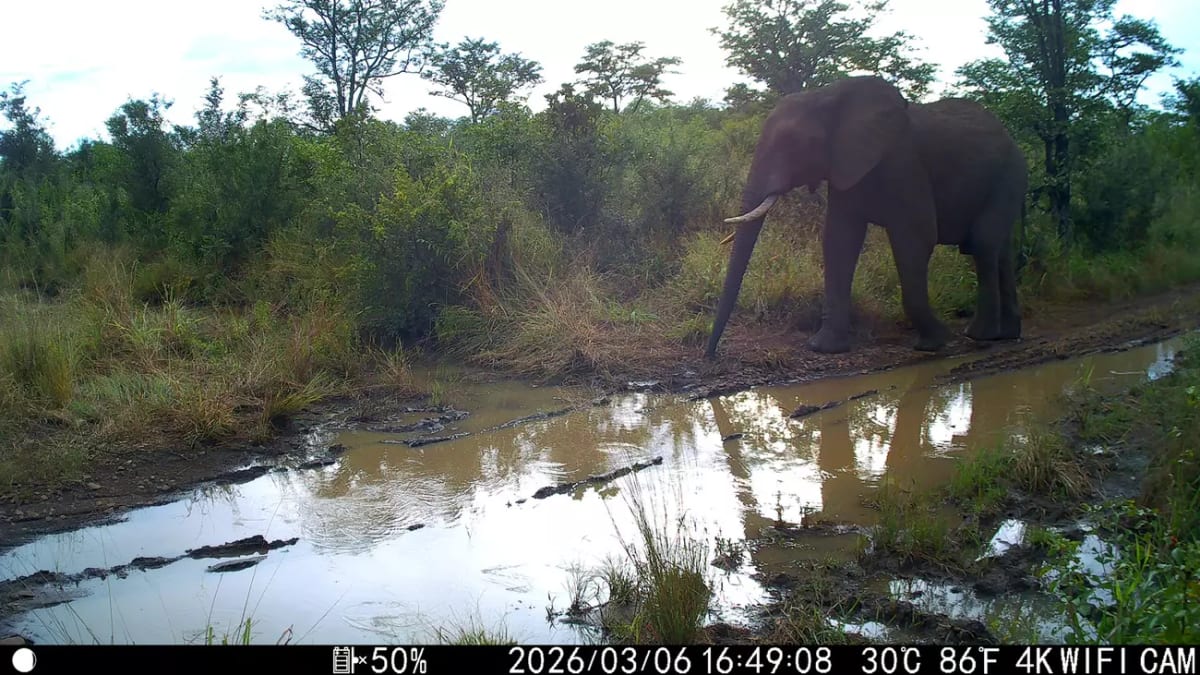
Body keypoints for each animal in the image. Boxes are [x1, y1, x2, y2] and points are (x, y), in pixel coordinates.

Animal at [704, 76, 1027, 358]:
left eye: (792, 143)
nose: (710, 355)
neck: (827, 94)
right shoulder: (846, 165)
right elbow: (839, 240)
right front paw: (824, 348)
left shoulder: (905, 163)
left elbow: (915, 239)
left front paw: (934, 343)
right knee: (999, 249)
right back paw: (1007, 334)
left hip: (1008, 175)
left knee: (983, 244)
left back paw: (980, 335)